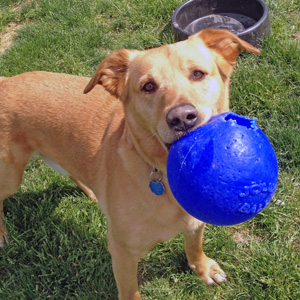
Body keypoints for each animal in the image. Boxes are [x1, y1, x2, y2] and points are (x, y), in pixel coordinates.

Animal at [0, 28, 258, 300]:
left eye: (198, 74)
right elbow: (131, 292)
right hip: (10, 176)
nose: (182, 118)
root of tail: (5, 81)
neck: (165, 174)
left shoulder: (195, 222)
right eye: (148, 86)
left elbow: (193, 245)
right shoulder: (122, 254)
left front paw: (202, 268)